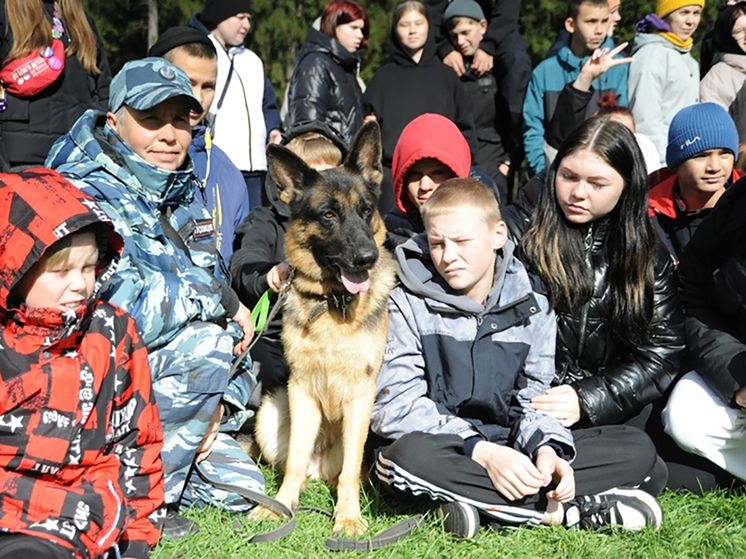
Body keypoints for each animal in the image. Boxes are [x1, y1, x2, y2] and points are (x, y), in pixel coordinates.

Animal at [251, 123, 396, 540]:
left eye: (366, 210)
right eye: (329, 214)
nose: (367, 258)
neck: (334, 302)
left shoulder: (361, 396)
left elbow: (350, 469)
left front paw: (347, 517)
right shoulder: (301, 390)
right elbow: (295, 461)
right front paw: (281, 506)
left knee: (346, 471)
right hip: (270, 411)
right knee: (296, 465)